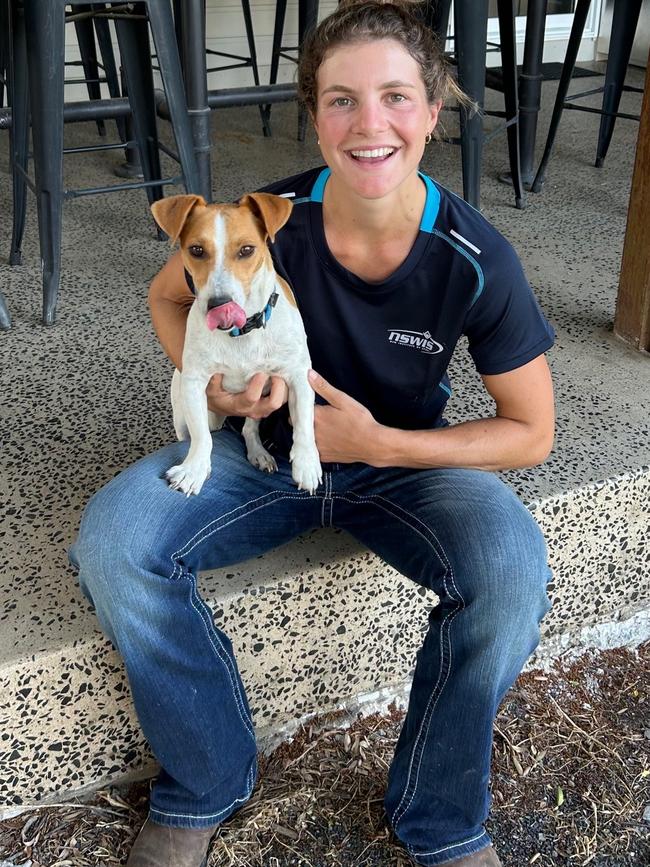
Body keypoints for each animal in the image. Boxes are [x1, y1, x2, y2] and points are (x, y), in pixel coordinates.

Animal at [153, 193, 324, 498]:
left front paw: (306, 463)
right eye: (196, 250)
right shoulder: (194, 383)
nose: (219, 304)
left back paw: (258, 453)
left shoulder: (298, 375)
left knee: (249, 428)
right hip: (184, 411)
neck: (240, 333)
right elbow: (201, 437)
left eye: (246, 250)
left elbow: (304, 423)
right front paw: (194, 469)